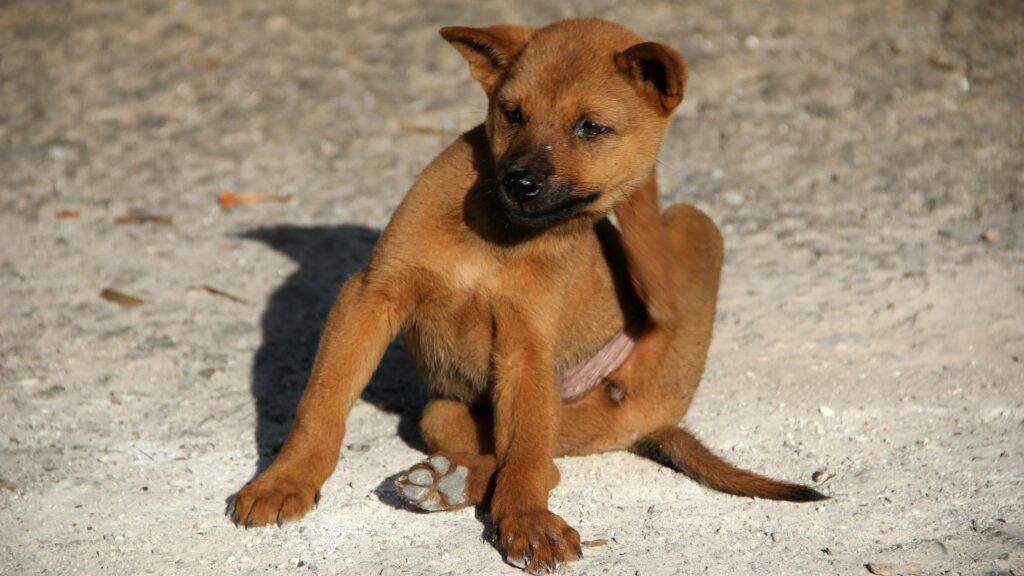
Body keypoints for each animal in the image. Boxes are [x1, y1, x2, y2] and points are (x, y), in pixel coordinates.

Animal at [230, 16, 823, 569]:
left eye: (591, 128)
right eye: (512, 114)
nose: (520, 183)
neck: (498, 236)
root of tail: (657, 421)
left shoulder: (525, 349)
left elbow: (527, 457)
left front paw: (528, 522)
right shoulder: (370, 295)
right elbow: (322, 404)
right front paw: (285, 480)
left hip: (690, 229)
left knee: (545, 460)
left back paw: (448, 481)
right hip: (445, 412)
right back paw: (445, 478)